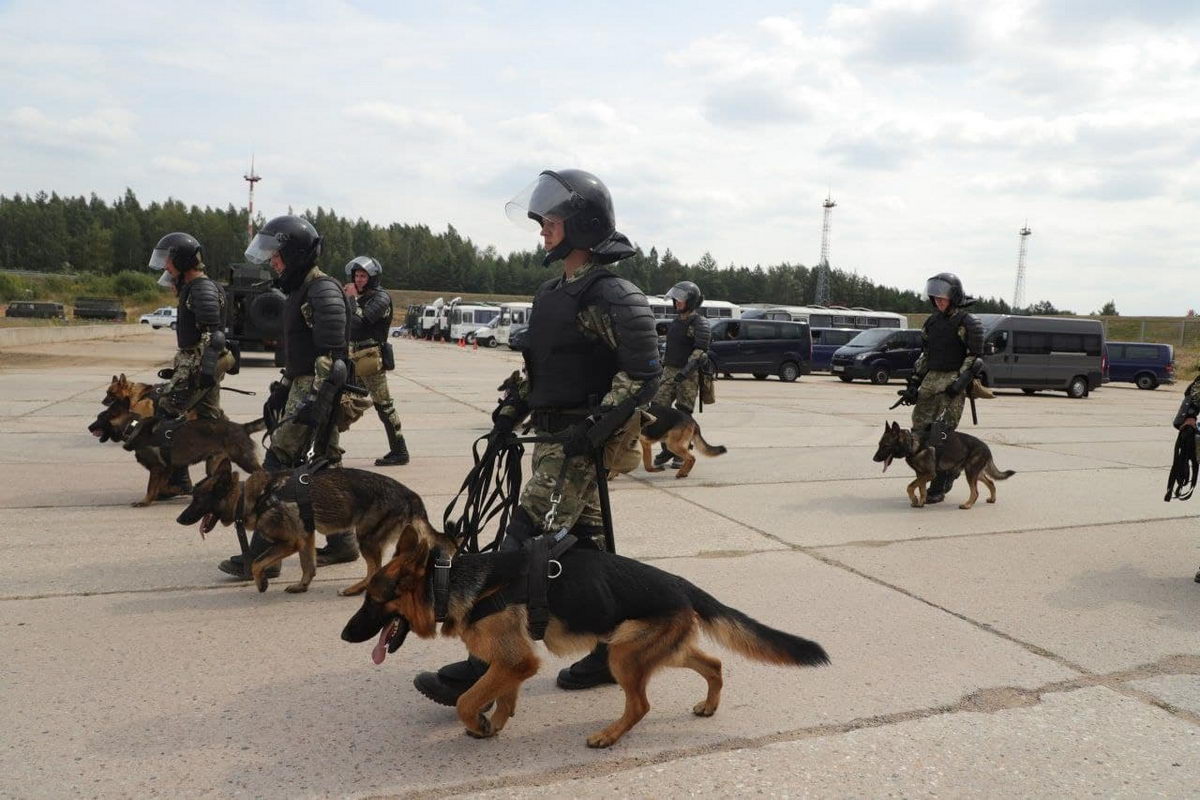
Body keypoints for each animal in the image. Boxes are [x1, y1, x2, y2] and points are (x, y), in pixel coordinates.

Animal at [120, 412, 265, 506]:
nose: (126, 446)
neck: (134, 429)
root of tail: (242, 427)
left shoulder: (158, 468)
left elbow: (151, 487)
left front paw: (145, 501)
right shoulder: (168, 468)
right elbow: (162, 486)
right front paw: (174, 490)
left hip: (244, 460)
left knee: (263, 472)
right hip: (213, 464)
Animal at [175, 462, 439, 594]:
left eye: (197, 499)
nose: (178, 520)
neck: (253, 498)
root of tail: (410, 494)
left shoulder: (290, 542)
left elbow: (258, 562)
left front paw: (261, 583)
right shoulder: (305, 538)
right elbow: (308, 566)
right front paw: (302, 586)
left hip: (366, 538)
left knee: (374, 569)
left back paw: (355, 589)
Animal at [338, 532, 825, 753]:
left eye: (372, 601)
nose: (344, 634)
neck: (449, 583)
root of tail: (680, 583)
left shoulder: (514, 659)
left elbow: (467, 700)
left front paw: (477, 723)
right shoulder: (515, 662)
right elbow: (503, 696)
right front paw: (495, 723)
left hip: (624, 654)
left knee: (640, 704)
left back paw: (609, 735)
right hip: (660, 648)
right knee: (714, 665)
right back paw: (708, 706)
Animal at [873, 422, 1012, 510]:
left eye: (885, 446)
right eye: (879, 444)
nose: (874, 459)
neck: (912, 444)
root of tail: (987, 447)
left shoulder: (929, 474)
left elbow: (910, 486)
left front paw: (915, 500)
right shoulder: (921, 474)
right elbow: (921, 489)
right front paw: (920, 502)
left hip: (971, 473)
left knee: (976, 492)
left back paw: (967, 505)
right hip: (976, 473)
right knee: (991, 482)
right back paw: (992, 499)